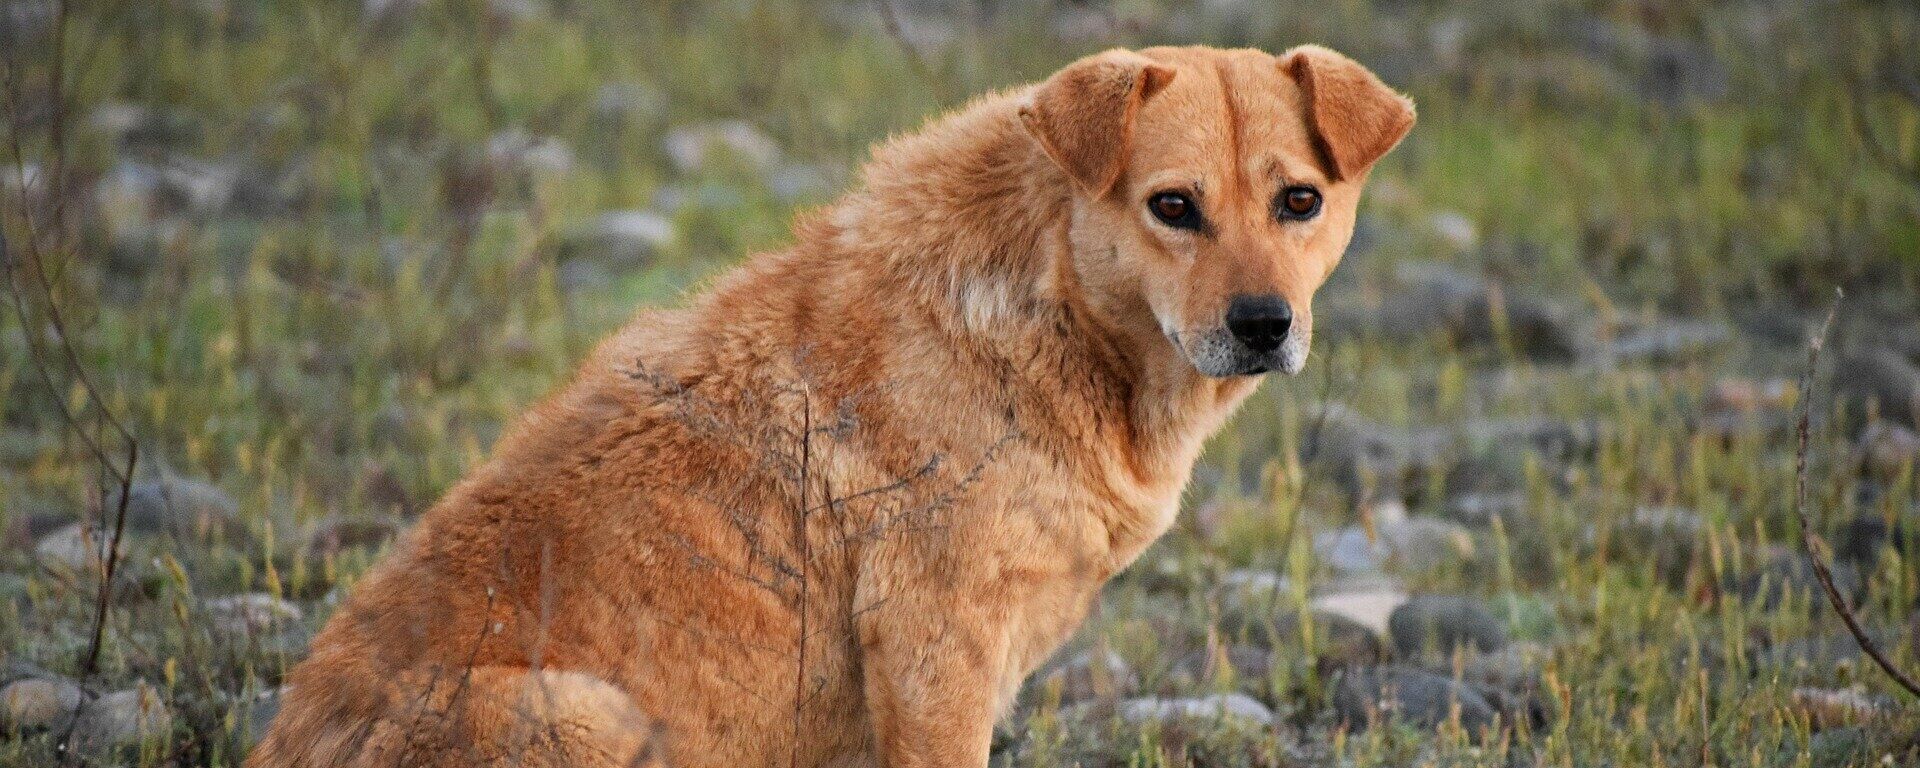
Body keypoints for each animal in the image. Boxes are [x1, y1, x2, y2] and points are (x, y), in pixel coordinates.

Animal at [251, 43, 1413, 768]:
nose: (1264, 324)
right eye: (1173, 207)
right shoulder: (935, 642)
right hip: (584, 712)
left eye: (1299, 201)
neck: (1054, 313)